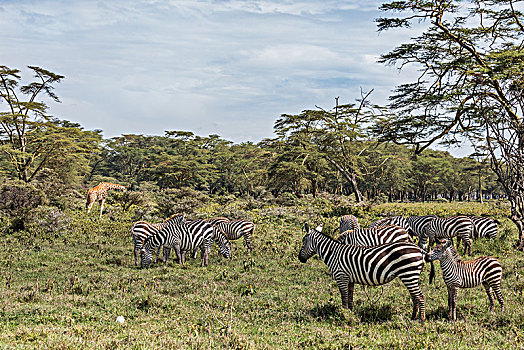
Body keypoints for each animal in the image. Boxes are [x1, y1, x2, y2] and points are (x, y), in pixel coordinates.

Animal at [296, 224, 428, 320]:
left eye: (303, 241)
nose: (300, 259)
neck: (333, 253)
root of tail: (418, 249)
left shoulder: (341, 276)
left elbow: (344, 297)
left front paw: (343, 314)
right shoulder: (349, 279)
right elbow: (350, 296)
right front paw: (350, 312)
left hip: (408, 274)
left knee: (420, 296)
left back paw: (421, 319)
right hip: (409, 275)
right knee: (414, 296)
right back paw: (413, 317)